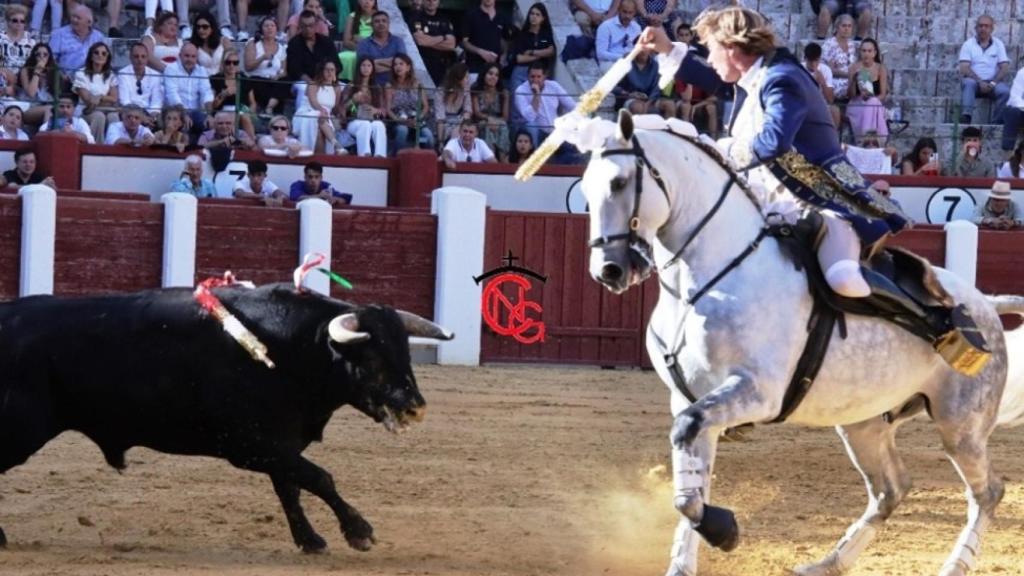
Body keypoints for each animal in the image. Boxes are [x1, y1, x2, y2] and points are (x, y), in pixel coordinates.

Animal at [0, 282, 452, 553]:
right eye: (371, 358)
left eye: (406, 351)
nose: (415, 407)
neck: (291, 350)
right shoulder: (251, 444)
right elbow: (319, 478)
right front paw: (359, 532)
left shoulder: (278, 443)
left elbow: (291, 488)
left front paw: (310, 541)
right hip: (20, 429)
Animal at [581, 109, 1024, 569]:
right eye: (584, 191)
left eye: (618, 182)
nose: (609, 270)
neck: (706, 276)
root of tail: (987, 304)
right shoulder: (689, 400)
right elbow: (690, 482)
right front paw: (685, 560)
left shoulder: (759, 392)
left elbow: (690, 467)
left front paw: (723, 530)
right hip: (864, 421)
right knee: (892, 488)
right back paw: (826, 564)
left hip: (961, 424)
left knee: (988, 492)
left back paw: (954, 565)